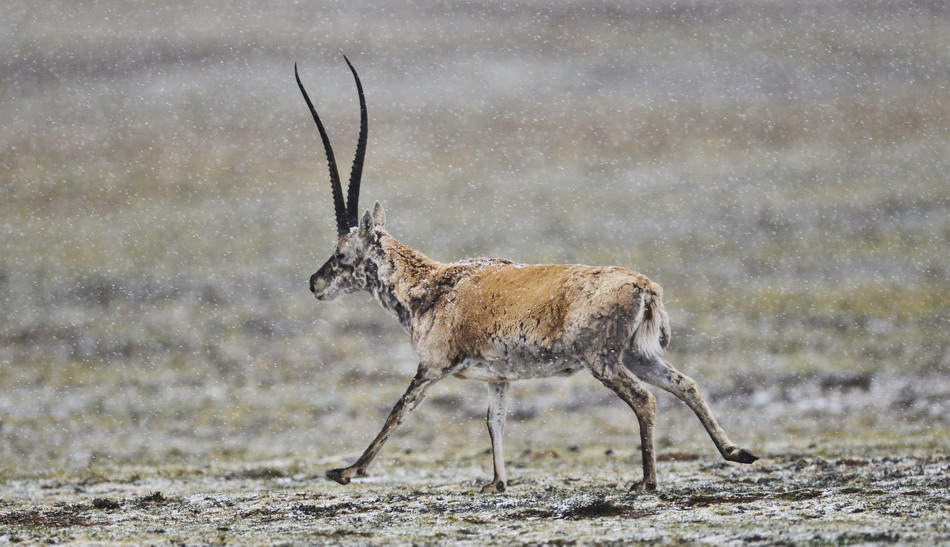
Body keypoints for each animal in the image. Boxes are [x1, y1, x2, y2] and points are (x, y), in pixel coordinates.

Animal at [298, 58, 760, 492]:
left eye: (341, 252)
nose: (314, 283)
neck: (431, 285)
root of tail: (644, 286)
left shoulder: (432, 366)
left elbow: (398, 411)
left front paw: (346, 471)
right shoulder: (499, 379)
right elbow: (494, 421)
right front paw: (496, 483)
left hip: (604, 360)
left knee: (645, 399)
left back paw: (647, 480)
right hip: (638, 355)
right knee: (686, 384)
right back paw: (738, 453)